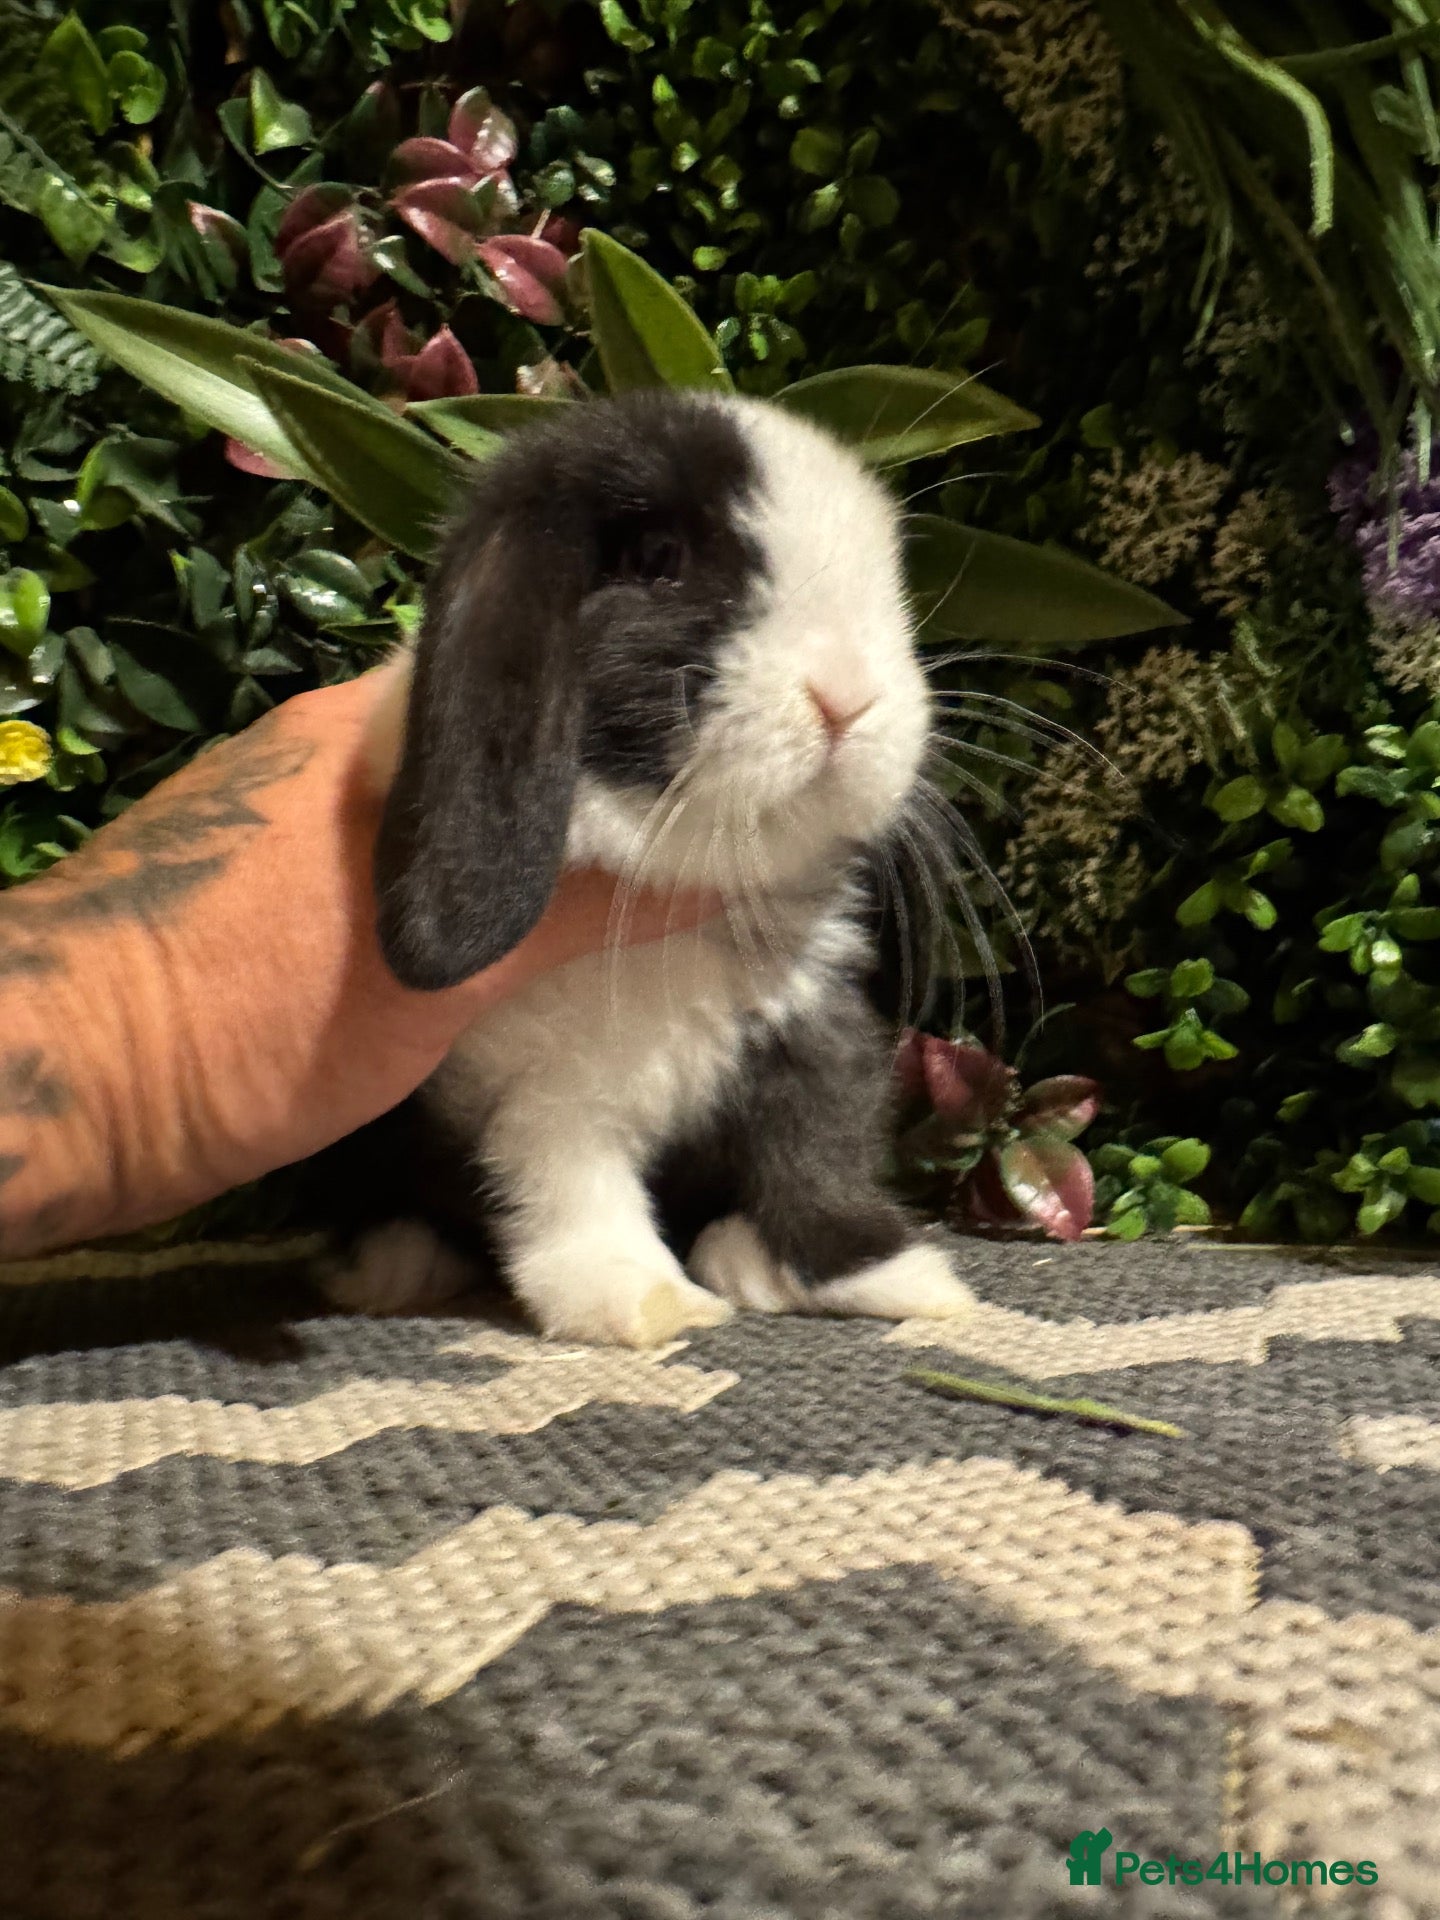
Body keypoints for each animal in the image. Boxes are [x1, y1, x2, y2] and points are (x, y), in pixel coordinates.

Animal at [321, 385, 977, 1348]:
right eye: (658, 559)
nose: (849, 699)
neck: (673, 881)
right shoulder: (541, 1085)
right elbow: (567, 1182)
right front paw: (642, 1303)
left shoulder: (811, 1029)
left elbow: (819, 1152)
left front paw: (891, 1278)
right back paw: (392, 1264)